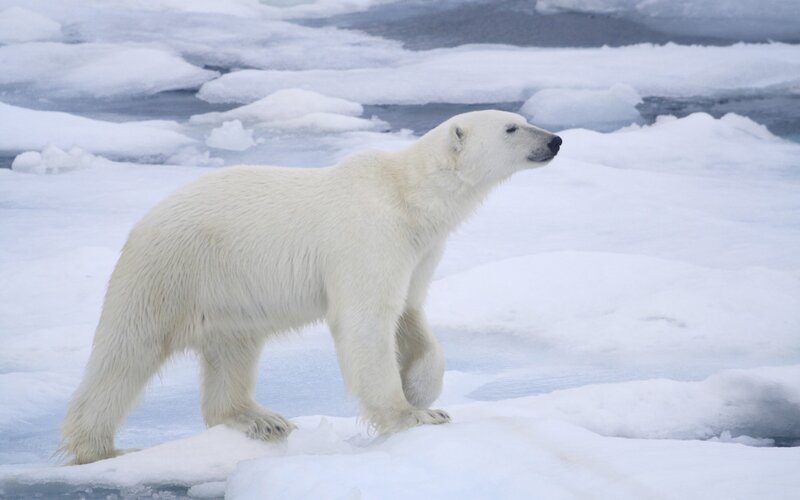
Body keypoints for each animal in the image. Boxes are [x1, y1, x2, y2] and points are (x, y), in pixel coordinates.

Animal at [60, 110, 562, 465]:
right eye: (512, 127)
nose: (555, 140)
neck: (407, 195)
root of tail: (143, 222)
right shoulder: (369, 234)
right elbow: (366, 320)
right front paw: (412, 416)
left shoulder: (419, 248)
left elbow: (410, 313)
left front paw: (421, 391)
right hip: (171, 271)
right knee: (127, 352)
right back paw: (101, 448)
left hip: (227, 294)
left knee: (233, 351)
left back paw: (259, 419)